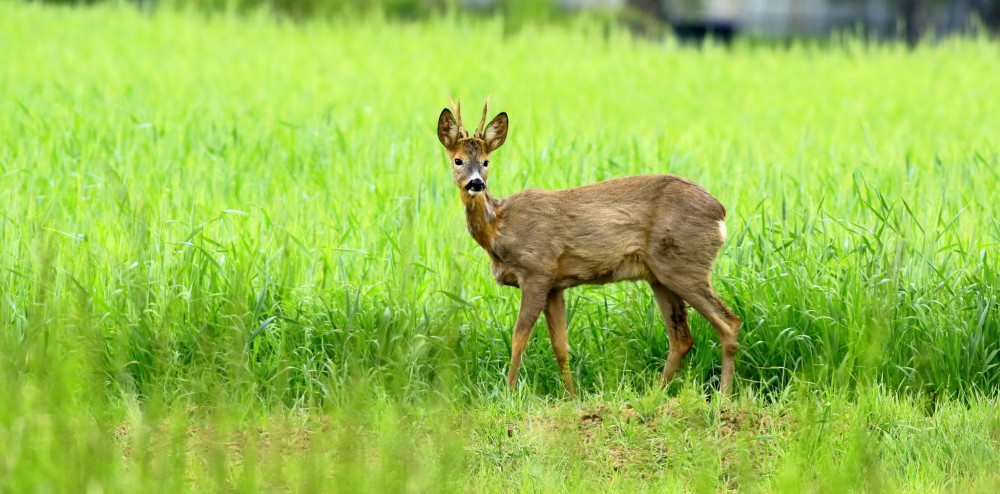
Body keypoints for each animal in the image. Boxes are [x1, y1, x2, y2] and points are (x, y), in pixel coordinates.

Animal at [438, 98, 744, 396]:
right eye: (458, 160)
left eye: (486, 161)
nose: (476, 183)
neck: (499, 226)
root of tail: (720, 212)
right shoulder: (555, 285)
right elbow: (560, 346)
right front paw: (572, 397)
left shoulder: (537, 270)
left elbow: (519, 338)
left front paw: (510, 395)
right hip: (659, 275)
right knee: (682, 336)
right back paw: (657, 394)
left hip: (685, 264)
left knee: (728, 323)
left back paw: (723, 395)